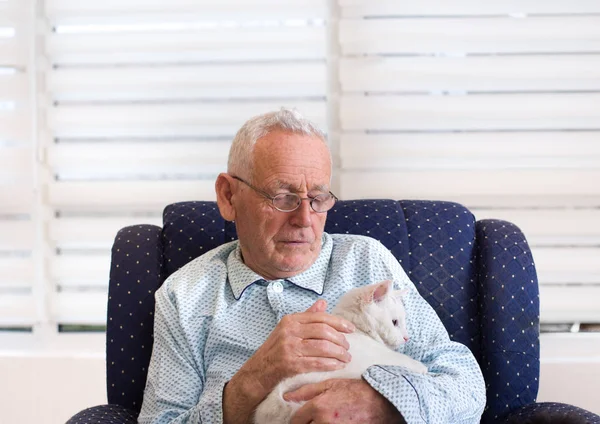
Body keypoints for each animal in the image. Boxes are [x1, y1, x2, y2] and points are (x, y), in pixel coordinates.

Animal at [252, 280, 426, 422]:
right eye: (395, 322)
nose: (407, 338)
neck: (357, 329)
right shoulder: (383, 356)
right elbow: (407, 361)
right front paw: (423, 368)